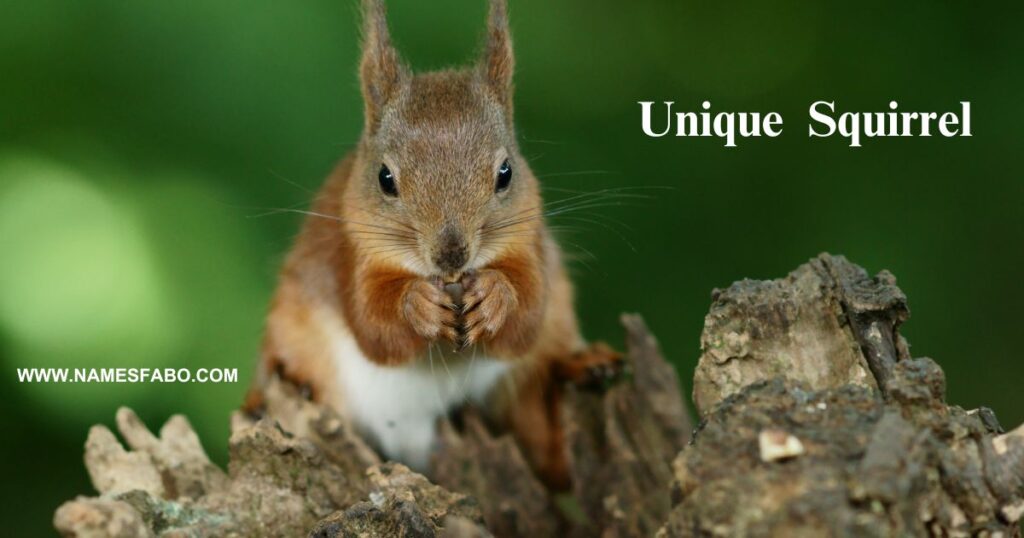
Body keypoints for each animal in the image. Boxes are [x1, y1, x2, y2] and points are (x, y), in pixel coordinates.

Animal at [243, 0, 618, 487]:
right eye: (385, 178)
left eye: (505, 173)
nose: (451, 256)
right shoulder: (350, 254)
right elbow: (374, 326)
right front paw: (417, 304)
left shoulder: (529, 245)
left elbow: (527, 315)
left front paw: (496, 295)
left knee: (551, 450)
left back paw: (587, 368)